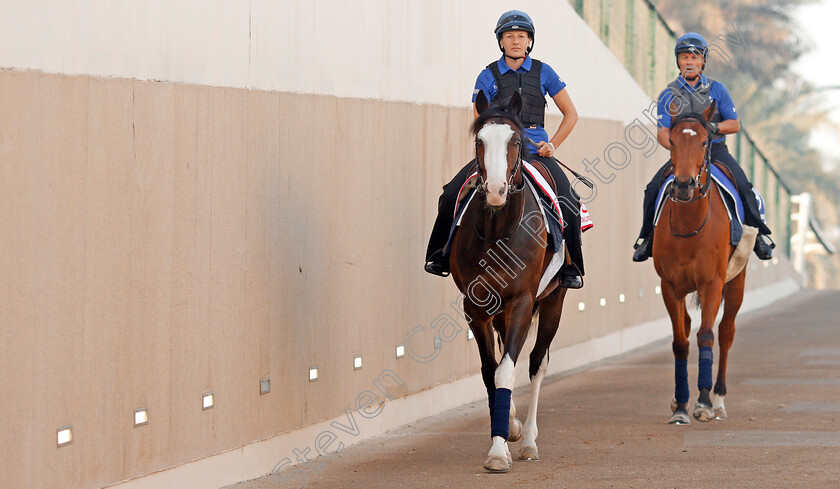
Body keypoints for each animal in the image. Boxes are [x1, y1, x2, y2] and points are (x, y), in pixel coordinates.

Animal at [452, 89, 572, 470]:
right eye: (479, 140)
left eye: (516, 140)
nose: (494, 190)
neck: (498, 230)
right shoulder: (475, 307)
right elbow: (491, 371)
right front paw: (504, 431)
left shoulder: (522, 301)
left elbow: (506, 371)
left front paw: (500, 449)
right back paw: (515, 425)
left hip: (553, 303)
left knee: (536, 364)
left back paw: (529, 440)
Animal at [648, 102, 748, 424]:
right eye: (672, 142)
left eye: (705, 141)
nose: (683, 185)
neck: (690, 225)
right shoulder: (669, 285)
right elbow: (680, 342)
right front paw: (681, 405)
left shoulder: (712, 283)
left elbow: (707, 335)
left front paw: (703, 402)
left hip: (736, 281)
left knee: (726, 332)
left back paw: (718, 399)